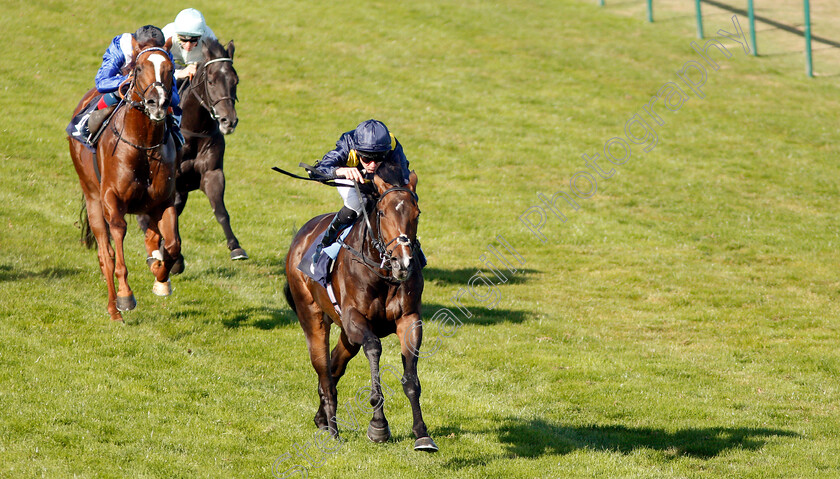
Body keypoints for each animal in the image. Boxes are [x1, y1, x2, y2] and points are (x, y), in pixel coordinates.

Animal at [69, 42, 180, 322]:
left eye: (171, 68)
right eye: (139, 68)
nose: (157, 103)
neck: (143, 144)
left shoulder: (164, 201)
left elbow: (172, 245)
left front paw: (161, 279)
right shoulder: (111, 199)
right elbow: (117, 240)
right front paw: (125, 296)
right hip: (92, 196)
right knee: (105, 252)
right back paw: (113, 308)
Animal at [139, 38, 244, 262]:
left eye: (235, 81)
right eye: (211, 81)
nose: (228, 121)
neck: (194, 132)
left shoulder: (211, 173)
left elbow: (220, 211)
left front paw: (236, 247)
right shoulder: (172, 182)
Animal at [284, 161, 436, 454]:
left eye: (417, 213)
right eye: (383, 213)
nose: (403, 263)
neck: (383, 273)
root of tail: (300, 237)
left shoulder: (409, 319)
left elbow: (411, 380)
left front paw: (422, 434)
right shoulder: (356, 319)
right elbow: (374, 348)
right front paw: (378, 425)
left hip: (346, 333)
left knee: (335, 366)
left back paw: (322, 418)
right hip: (313, 317)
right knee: (325, 372)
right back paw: (332, 430)